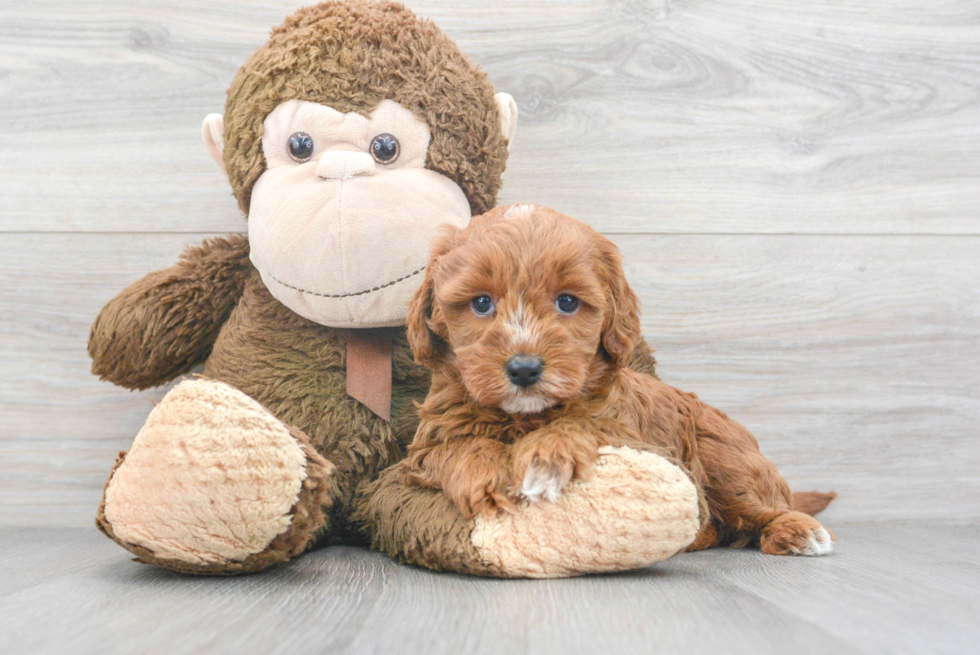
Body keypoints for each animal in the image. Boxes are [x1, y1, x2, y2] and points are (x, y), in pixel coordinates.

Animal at [404, 204, 836, 552]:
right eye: (481, 303)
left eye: (567, 302)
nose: (524, 368)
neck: (524, 416)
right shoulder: (428, 441)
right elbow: (455, 448)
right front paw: (487, 477)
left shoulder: (630, 434)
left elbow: (583, 424)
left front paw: (547, 456)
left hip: (724, 457)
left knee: (759, 506)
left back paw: (798, 531)